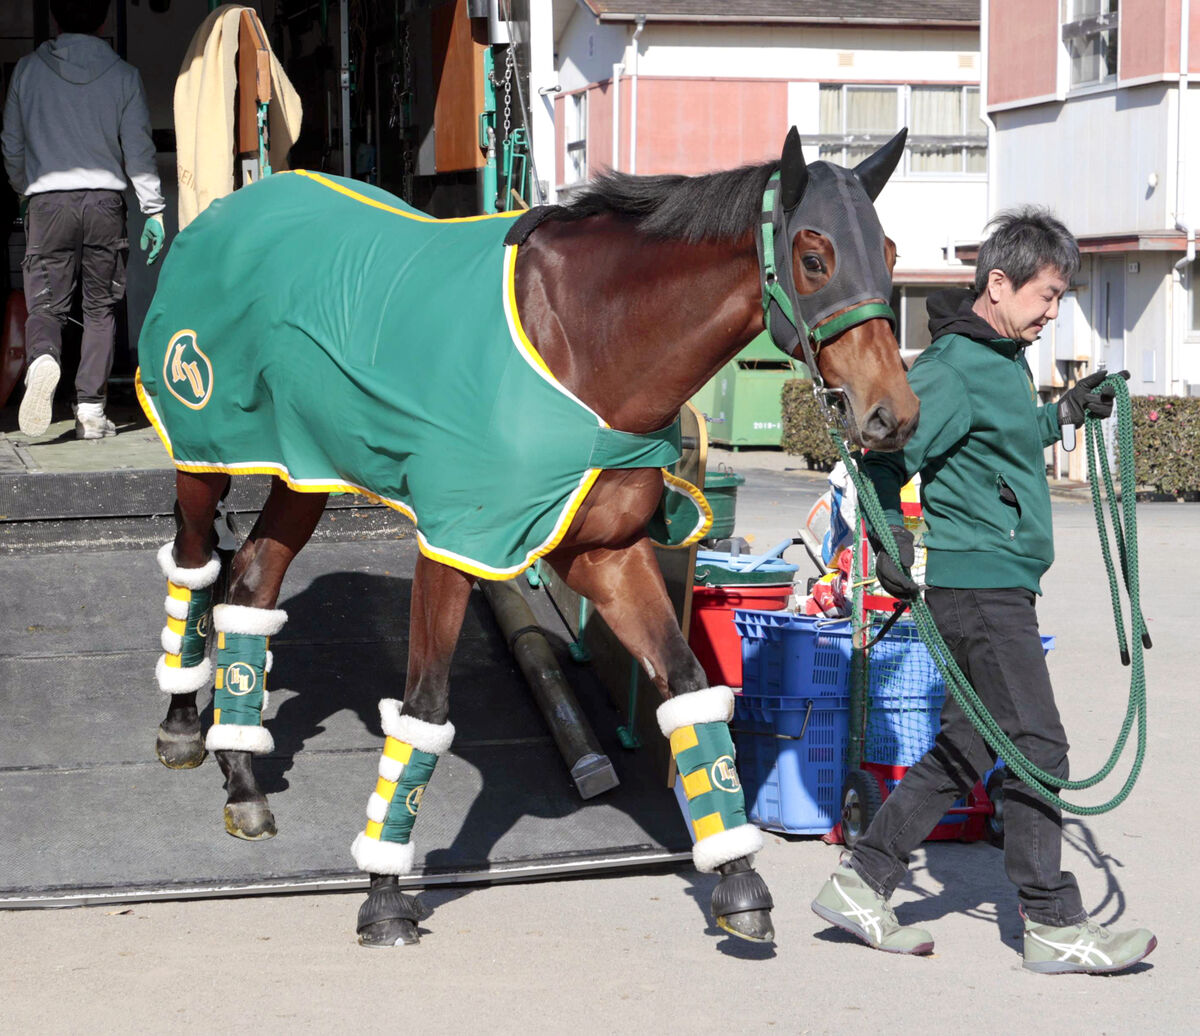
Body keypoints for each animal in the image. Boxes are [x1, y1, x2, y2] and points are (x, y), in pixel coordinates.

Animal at [140, 127, 916, 945]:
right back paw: (185, 728)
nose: (892, 415)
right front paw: (385, 891)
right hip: (204, 451)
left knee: (253, 581)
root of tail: (231, 208)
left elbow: (686, 686)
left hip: (303, 467)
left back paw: (242, 776)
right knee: (195, 564)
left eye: (890, 252)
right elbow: (425, 709)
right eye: (814, 257)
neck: (583, 344)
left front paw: (738, 877)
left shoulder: (606, 553)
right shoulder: (455, 544)